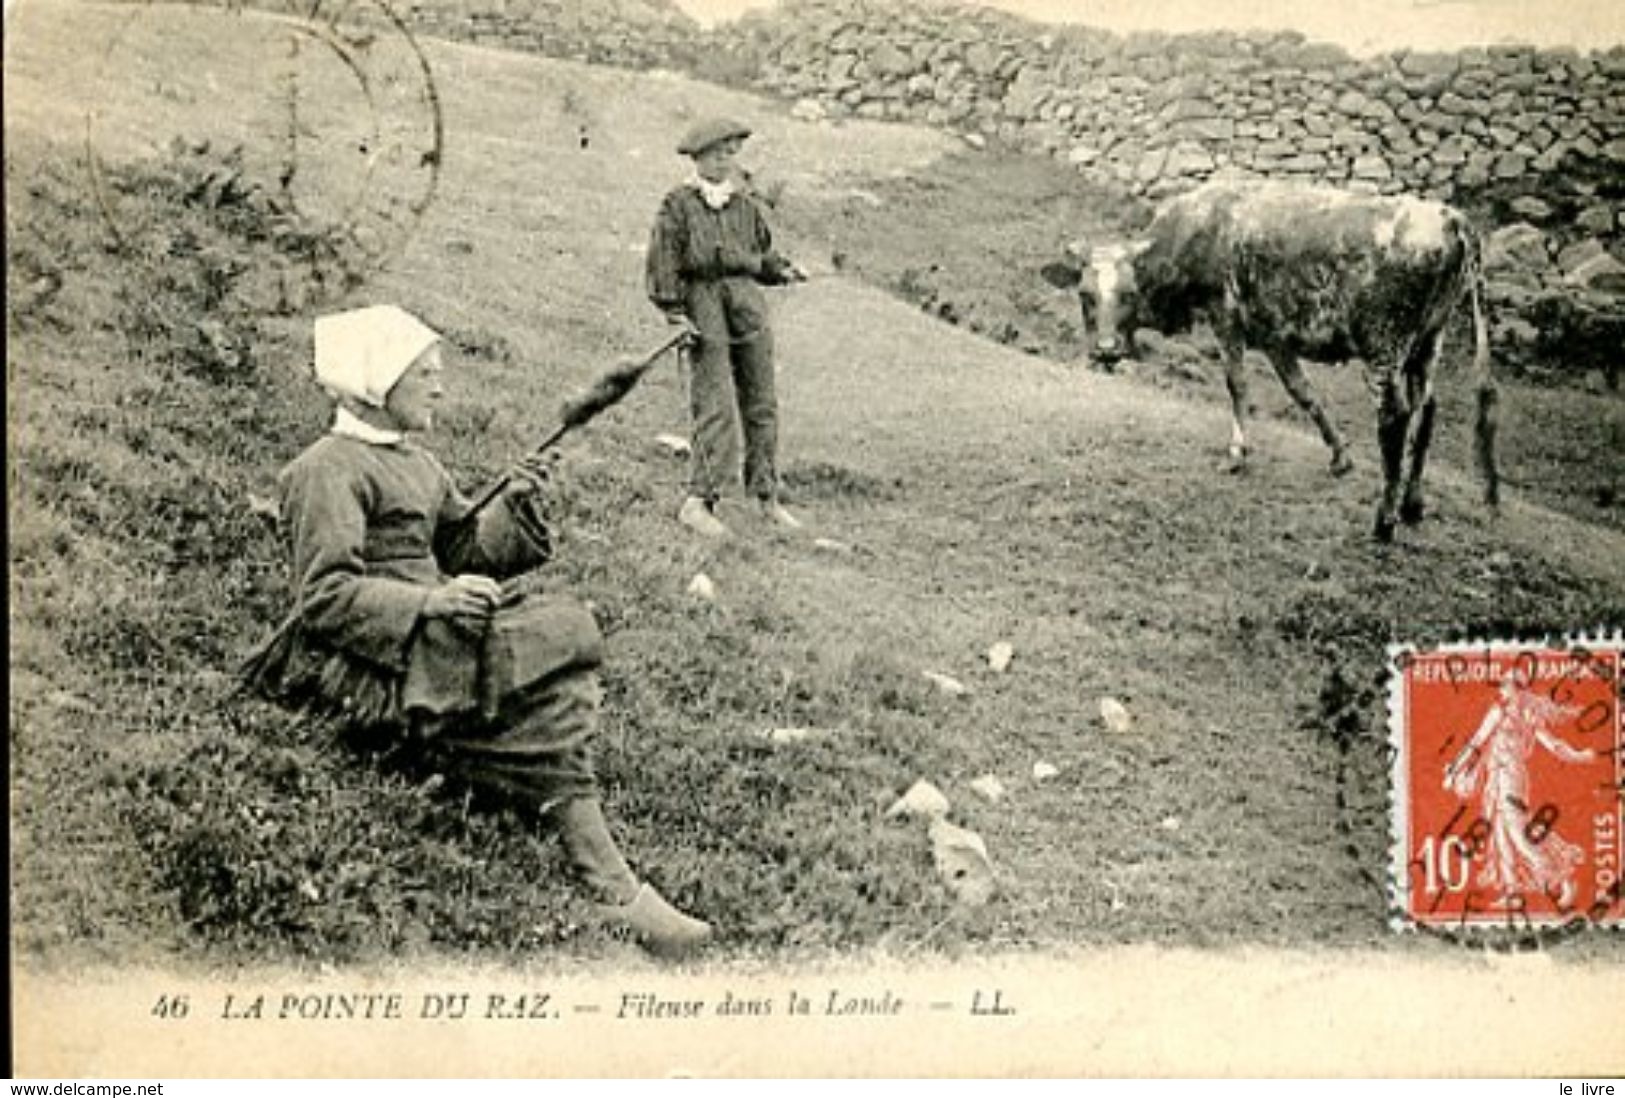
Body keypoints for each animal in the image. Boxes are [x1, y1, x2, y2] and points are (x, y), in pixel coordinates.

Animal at [1040, 180, 1495, 545]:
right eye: (1085, 294)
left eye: (1130, 293)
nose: (1105, 349)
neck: (1200, 229)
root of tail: (1450, 217)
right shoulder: (1276, 336)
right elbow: (1304, 393)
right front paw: (1339, 455)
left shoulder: (1226, 318)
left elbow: (1237, 385)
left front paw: (1237, 452)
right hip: (1429, 341)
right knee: (1428, 409)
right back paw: (1413, 505)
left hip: (1384, 346)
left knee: (1395, 418)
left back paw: (1384, 521)